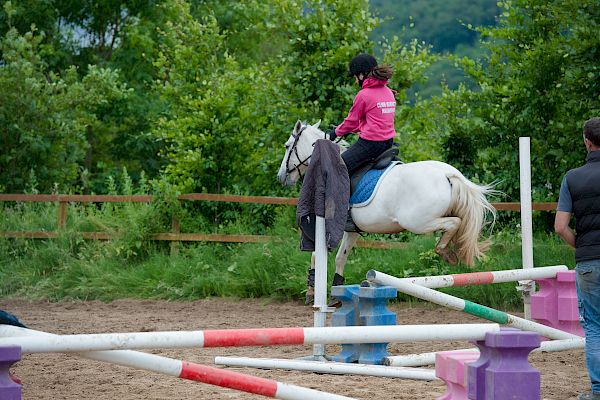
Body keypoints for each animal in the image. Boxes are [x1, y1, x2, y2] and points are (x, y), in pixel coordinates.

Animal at [276, 120, 496, 302]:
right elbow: (341, 257)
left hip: (418, 222)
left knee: (454, 223)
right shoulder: (351, 230)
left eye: (287, 146)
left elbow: (316, 255)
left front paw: (311, 289)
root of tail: (447, 174)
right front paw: (336, 294)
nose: (281, 177)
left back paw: (445, 251)